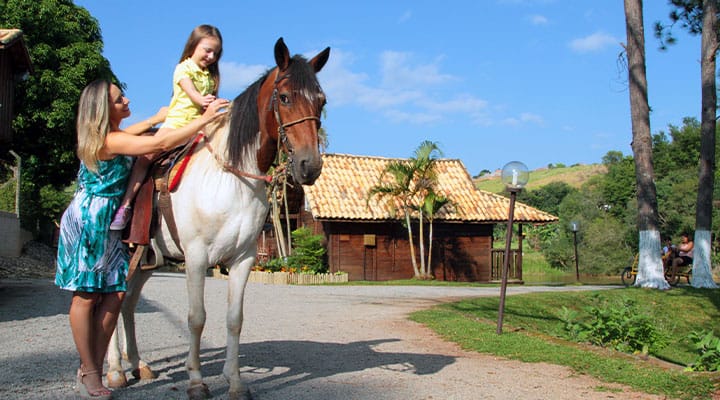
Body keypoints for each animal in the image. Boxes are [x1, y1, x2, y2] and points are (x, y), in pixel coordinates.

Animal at [105, 36, 330, 398]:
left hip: (144, 262)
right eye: (284, 97)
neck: (230, 177)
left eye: (321, 101)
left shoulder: (243, 259)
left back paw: (139, 365)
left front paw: (235, 382)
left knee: (126, 303)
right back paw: (114, 371)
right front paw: (196, 380)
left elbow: (234, 319)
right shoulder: (196, 258)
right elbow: (197, 318)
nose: (310, 166)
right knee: (112, 301)